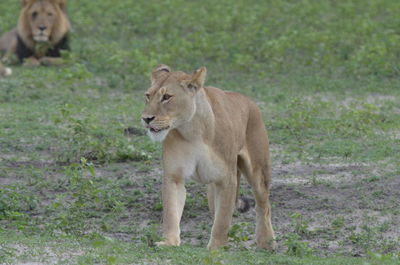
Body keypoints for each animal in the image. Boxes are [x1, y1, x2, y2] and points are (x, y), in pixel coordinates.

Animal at [142, 64, 276, 250]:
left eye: (167, 97)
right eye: (148, 96)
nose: (146, 119)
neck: (193, 131)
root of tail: (247, 100)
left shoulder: (227, 179)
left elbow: (222, 220)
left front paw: (216, 248)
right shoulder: (174, 176)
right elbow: (171, 211)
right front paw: (169, 242)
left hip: (258, 171)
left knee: (264, 205)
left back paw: (267, 242)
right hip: (213, 188)